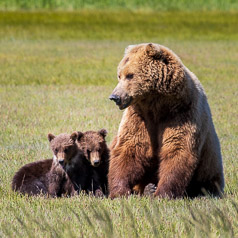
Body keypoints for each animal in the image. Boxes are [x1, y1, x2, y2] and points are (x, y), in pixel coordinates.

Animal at [109, 43, 224, 199]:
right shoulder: (139, 116)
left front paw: (163, 193)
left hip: (211, 164)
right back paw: (148, 188)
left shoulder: (181, 113)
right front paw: (120, 191)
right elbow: (131, 146)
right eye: (119, 75)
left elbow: (177, 149)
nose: (115, 97)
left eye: (130, 75)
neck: (157, 104)